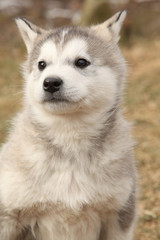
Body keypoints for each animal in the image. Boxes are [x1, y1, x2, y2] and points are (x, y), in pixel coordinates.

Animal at [0, 10, 136, 240]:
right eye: (42, 64)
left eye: (81, 62)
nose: (51, 82)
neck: (70, 136)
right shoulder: (9, 214)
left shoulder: (119, 217)